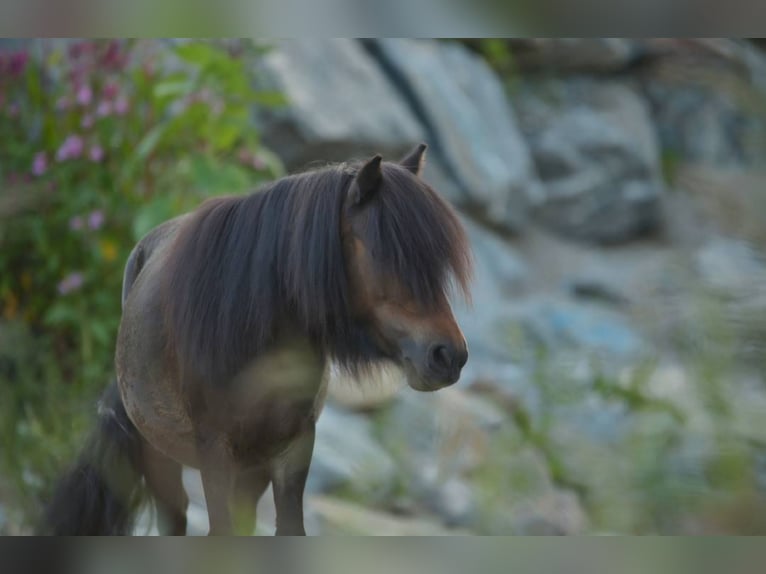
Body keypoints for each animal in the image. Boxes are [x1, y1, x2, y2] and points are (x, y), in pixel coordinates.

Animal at [43, 144, 472, 536]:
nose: (448, 356)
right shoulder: (215, 451)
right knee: (175, 517)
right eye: (386, 254)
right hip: (161, 456)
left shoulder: (291, 450)